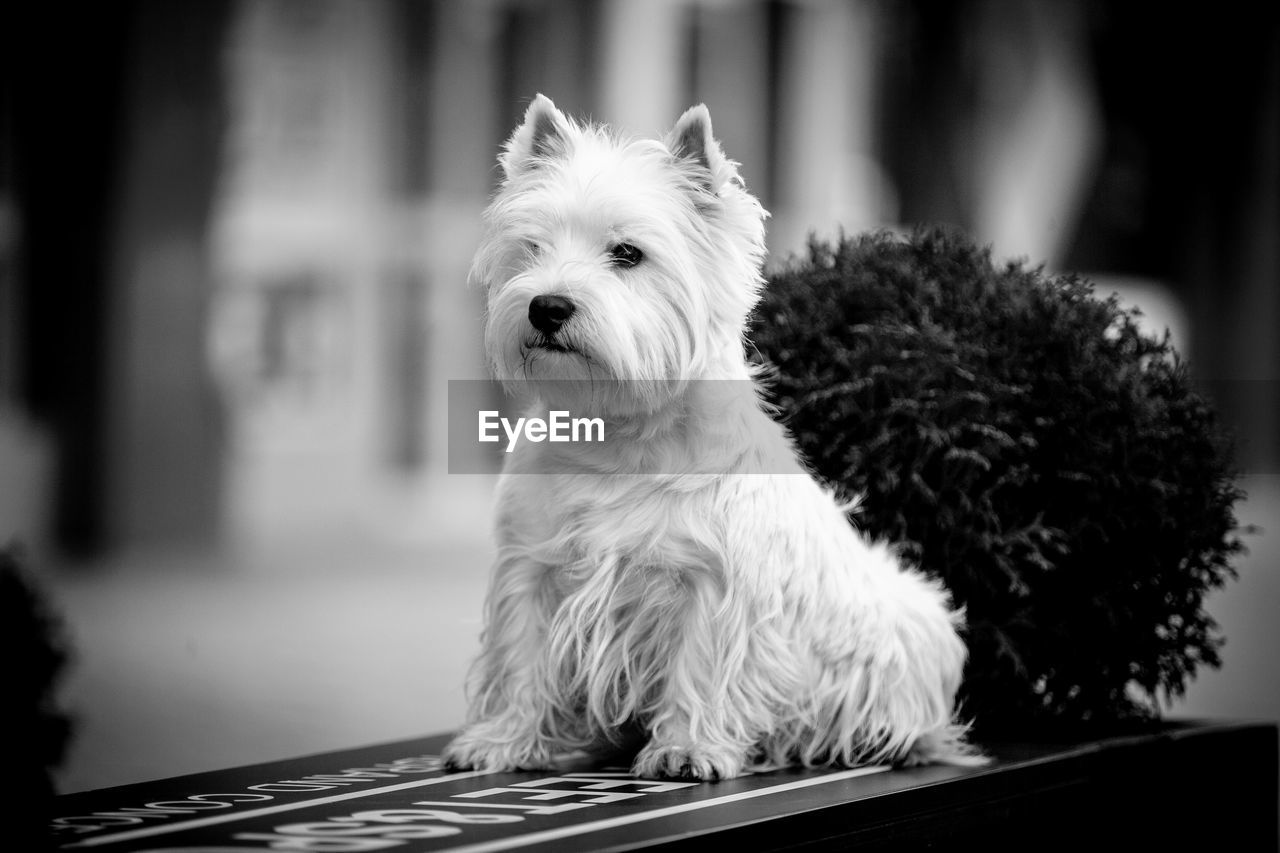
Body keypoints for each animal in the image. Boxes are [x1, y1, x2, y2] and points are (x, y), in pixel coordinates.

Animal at [445, 94, 983, 778]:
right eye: (532, 247)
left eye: (627, 254)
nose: (547, 307)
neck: (620, 432)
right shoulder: (533, 568)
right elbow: (522, 657)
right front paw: (503, 739)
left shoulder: (714, 581)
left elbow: (701, 666)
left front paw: (686, 750)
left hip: (911, 616)